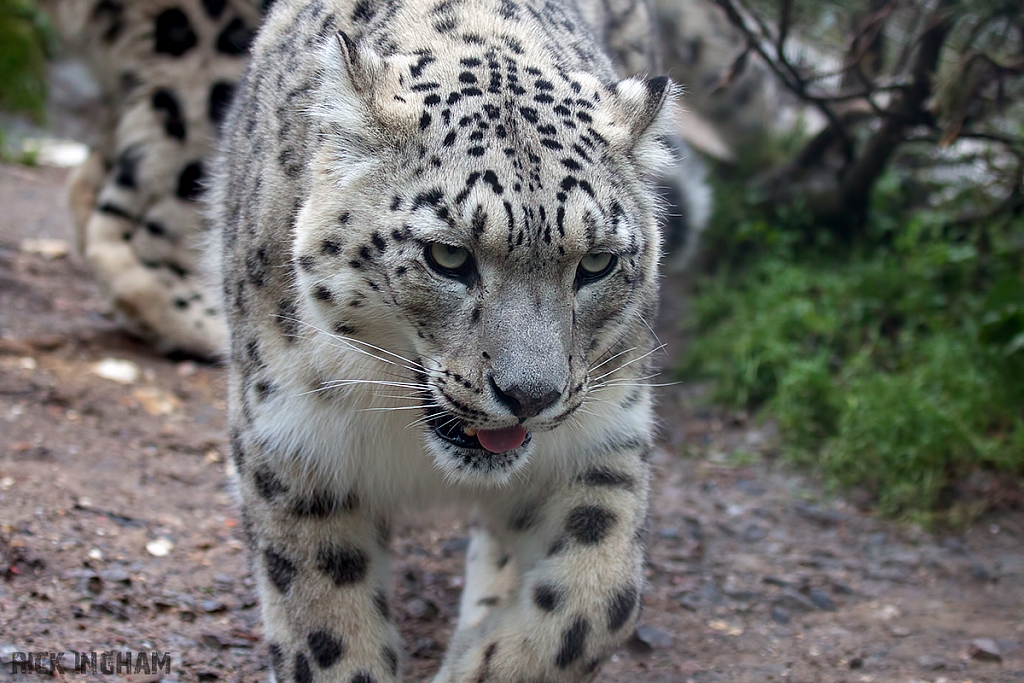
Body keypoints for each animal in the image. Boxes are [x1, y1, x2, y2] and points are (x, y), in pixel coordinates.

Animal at [207, 0, 696, 679]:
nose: (530, 395)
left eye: (596, 263)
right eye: (448, 256)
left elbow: (601, 596)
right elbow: (326, 630)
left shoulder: (604, 432)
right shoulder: (291, 446)